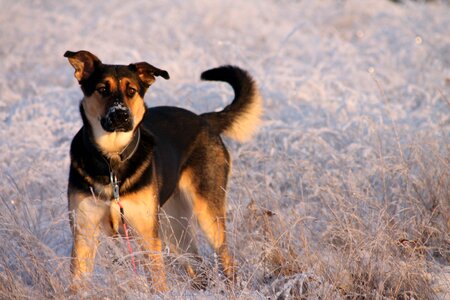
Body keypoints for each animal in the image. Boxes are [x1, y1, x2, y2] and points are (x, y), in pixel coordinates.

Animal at [63, 50, 260, 292]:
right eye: (102, 89)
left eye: (131, 91)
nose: (121, 115)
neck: (112, 160)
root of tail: (204, 119)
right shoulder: (84, 233)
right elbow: (77, 283)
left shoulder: (147, 234)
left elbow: (157, 281)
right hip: (173, 226)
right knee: (196, 264)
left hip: (207, 216)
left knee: (226, 258)